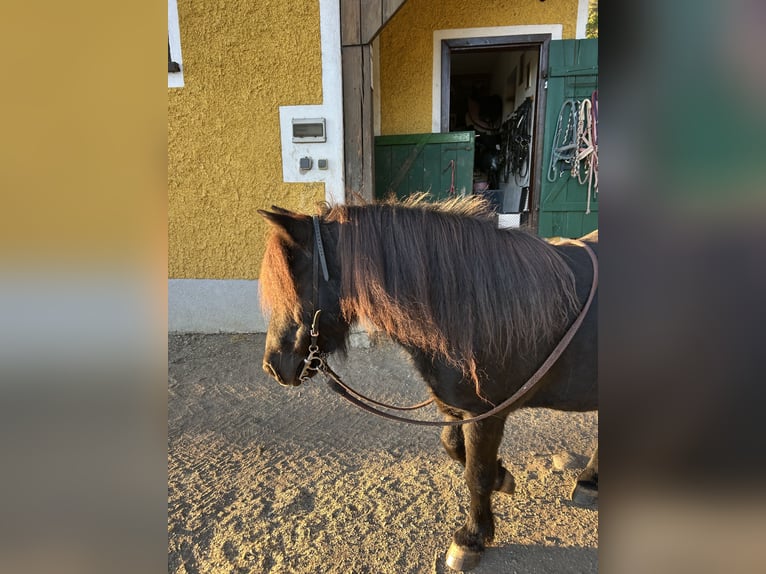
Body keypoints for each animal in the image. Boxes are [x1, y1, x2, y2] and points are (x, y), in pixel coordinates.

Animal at [258, 195, 598, 571]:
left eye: (293, 285)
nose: (273, 366)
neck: (472, 306)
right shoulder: (456, 407)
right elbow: (453, 447)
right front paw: (502, 477)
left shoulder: (487, 414)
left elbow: (475, 473)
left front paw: (472, 538)